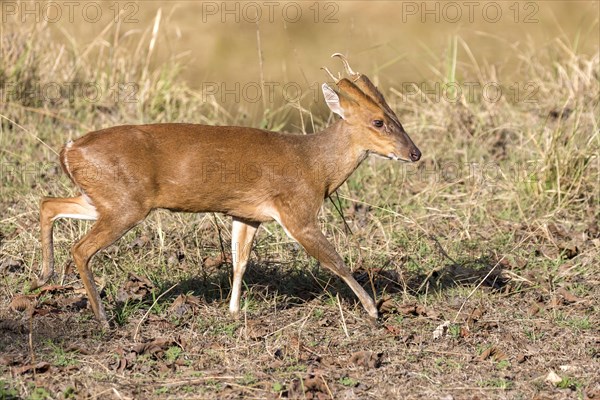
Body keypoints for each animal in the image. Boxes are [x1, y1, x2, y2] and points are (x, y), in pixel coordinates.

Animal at [35, 54, 420, 328]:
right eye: (377, 121)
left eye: (395, 116)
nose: (414, 153)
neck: (315, 167)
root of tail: (68, 149)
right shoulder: (297, 210)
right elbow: (333, 259)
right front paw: (373, 310)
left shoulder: (247, 214)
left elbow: (240, 261)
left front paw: (234, 310)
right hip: (125, 204)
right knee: (80, 248)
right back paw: (102, 318)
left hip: (104, 198)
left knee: (48, 203)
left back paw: (46, 273)